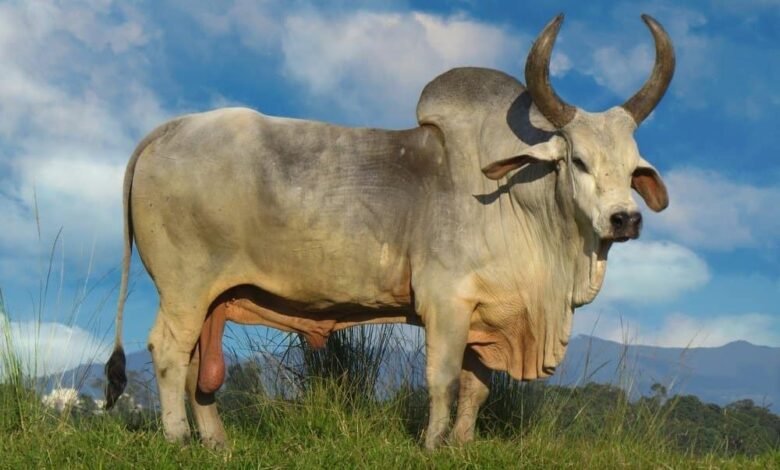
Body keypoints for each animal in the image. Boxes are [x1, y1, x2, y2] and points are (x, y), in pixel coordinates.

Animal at [105, 14, 674, 449]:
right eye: (577, 160)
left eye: (633, 169)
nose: (625, 219)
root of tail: (169, 129)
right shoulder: (445, 303)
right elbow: (443, 382)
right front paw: (432, 444)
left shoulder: (486, 314)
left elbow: (477, 388)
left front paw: (462, 444)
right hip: (183, 287)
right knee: (168, 352)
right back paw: (178, 438)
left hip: (211, 299)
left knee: (198, 365)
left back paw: (216, 441)